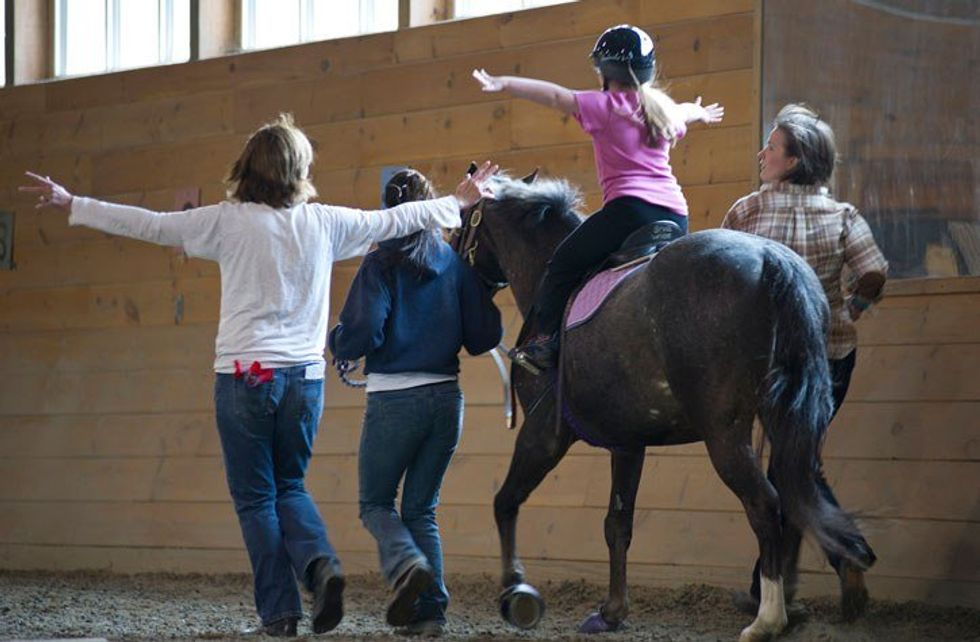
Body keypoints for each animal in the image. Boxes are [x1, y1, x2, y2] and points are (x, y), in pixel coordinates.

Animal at [452, 171, 872, 640]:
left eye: (463, 221)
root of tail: (770, 258)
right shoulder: (627, 444)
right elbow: (617, 524)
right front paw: (612, 611)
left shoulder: (544, 434)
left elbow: (505, 501)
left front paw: (515, 590)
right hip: (787, 423)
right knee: (800, 496)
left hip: (725, 433)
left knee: (766, 504)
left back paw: (768, 617)